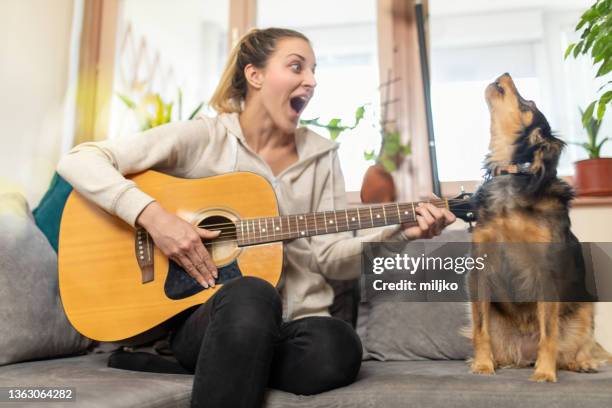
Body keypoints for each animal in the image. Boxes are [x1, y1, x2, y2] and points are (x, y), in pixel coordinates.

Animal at [466, 72, 608, 382]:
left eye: (527, 104)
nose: (505, 73)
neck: (511, 175)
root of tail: (524, 353)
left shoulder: (546, 270)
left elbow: (549, 332)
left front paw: (545, 373)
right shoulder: (481, 270)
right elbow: (480, 330)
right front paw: (482, 365)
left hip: (585, 310)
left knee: (578, 347)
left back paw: (581, 363)